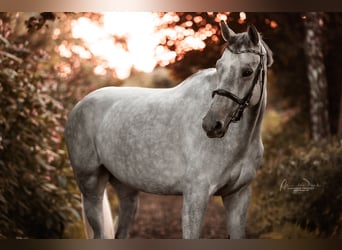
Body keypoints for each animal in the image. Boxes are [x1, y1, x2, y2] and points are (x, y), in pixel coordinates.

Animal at [65, 21, 272, 238]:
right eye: (219, 67)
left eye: (247, 71)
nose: (211, 124)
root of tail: (80, 105)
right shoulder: (195, 195)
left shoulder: (238, 195)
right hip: (91, 186)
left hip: (126, 190)